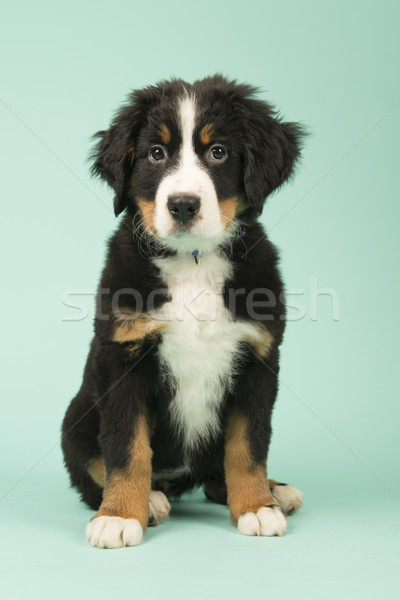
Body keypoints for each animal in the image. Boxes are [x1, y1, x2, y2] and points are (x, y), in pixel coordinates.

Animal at [61, 75, 306, 548]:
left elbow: (248, 446)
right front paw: (120, 515)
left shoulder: (258, 361)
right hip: (75, 422)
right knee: (94, 467)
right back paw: (151, 501)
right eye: (156, 153)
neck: (193, 261)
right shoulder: (123, 359)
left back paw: (276, 491)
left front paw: (256, 506)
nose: (183, 205)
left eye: (219, 152)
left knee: (217, 475)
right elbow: (125, 449)